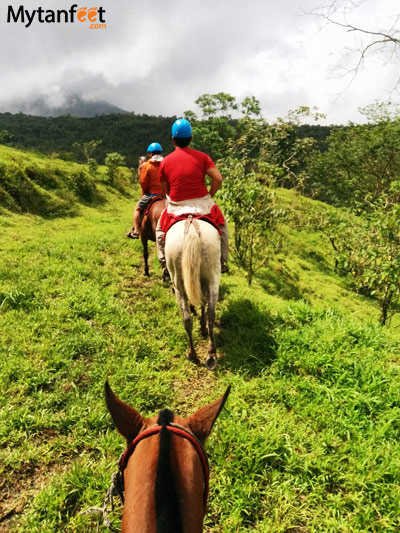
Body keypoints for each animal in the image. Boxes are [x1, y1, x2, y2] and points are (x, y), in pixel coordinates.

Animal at [166, 216, 222, 370]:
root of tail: (191, 229)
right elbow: (203, 304)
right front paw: (202, 326)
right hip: (213, 279)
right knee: (210, 315)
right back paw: (210, 352)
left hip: (179, 284)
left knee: (187, 318)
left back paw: (192, 353)